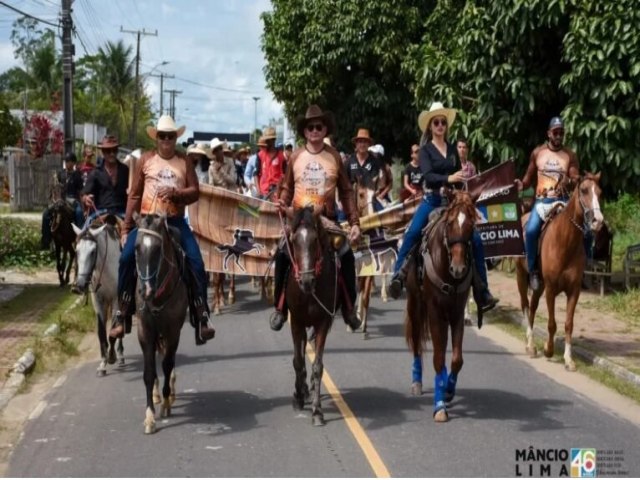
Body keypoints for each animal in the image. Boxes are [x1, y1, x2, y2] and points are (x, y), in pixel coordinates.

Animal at [286, 206, 342, 428]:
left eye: (315, 240)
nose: (307, 280)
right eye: (294, 241)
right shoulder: (295, 321)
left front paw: (317, 412)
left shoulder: (323, 323)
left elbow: (317, 366)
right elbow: (297, 361)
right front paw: (298, 397)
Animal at [402, 189, 478, 422]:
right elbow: (437, 358)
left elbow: (456, 359)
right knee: (417, 343)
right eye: (450, 223)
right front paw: (439, 407)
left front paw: (448, 390)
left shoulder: (457, 313)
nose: (458, 268)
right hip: (416, 305)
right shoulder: (435, 312)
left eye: (472, 224)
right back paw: (417, 382)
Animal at [516, 172, 604, 372]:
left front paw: (568, 359)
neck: (565, 242)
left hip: (539, 285)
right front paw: (548, 349)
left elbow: (568, 324)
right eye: (584, 190)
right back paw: (531, 345)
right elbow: (551, 324)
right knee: (525, 305)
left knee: (533, 307)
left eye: (600, 192)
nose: (598, 221)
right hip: (521, 276)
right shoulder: (550, 289)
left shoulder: (574, 290)